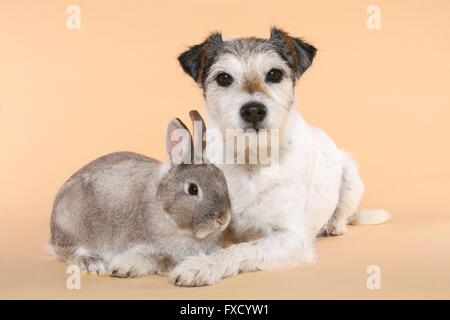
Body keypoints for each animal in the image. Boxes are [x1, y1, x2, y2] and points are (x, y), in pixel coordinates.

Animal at [50, 111, 230, 278]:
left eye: (222, 177)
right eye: (193, 189)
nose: (224, 219)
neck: (165, 212)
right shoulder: (144, 246)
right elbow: (158, 258)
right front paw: (172, 266)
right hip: (72, 225)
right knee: (68, 251)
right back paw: (92, 263)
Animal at [170, 27, 390, 286]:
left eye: (274, 74)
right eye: (223, 78)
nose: (253, 110)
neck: (251, 159)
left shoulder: (290, 237)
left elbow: (242, 248)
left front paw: (203, 265)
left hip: (351, 178)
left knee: (342, 216)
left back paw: (332, 225)